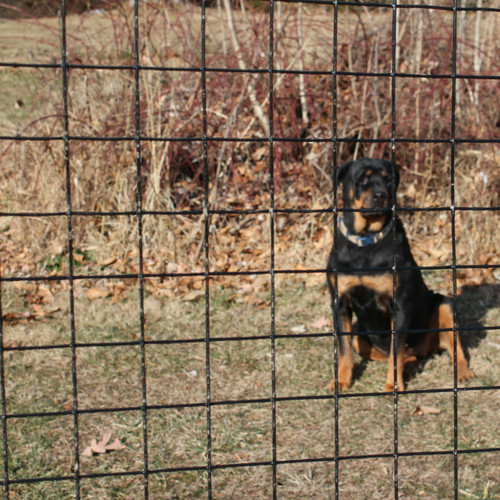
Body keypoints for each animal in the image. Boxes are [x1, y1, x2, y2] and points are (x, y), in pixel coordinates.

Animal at [326, 158, 474, 392]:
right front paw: (341, 381)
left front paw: (392, 386)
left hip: (445, 305)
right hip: (360, 334)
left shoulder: (400, 304)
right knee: (393, 354)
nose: (380, 195)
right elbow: (344, 349)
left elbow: (396, 351)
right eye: (363, 179)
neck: (366, 240)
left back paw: (463, 373)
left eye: (389, 180)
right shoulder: (340, 302)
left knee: (453, 347)